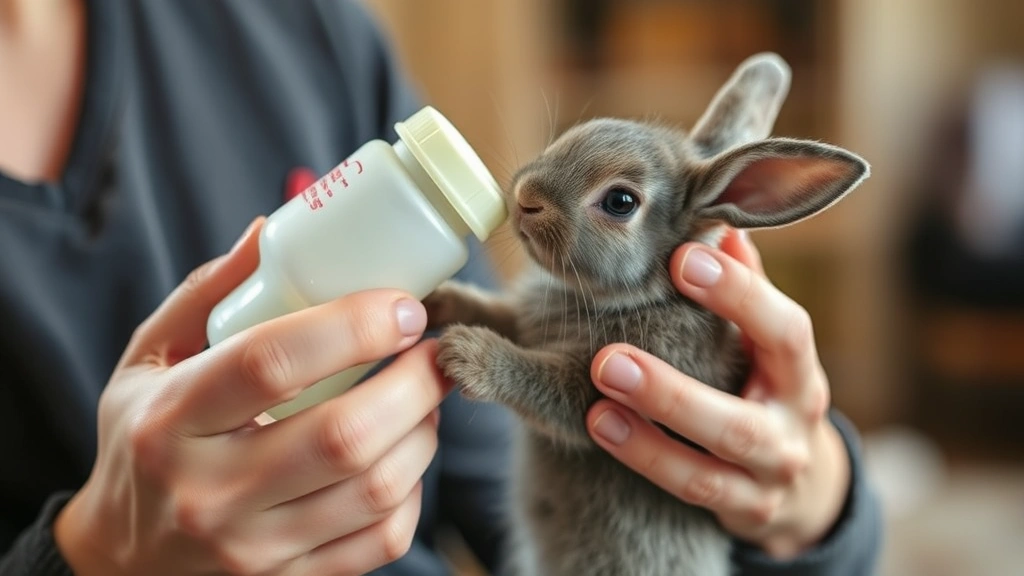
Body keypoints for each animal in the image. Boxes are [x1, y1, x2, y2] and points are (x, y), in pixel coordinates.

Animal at [424, 52, 870, 576]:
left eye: (621, 202)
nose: (526, 198)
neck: (635, 296)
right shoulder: (529, 323)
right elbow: (496, 312)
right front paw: (441, 303)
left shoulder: (606, 386)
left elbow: (548, 386)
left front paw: (467, 352)